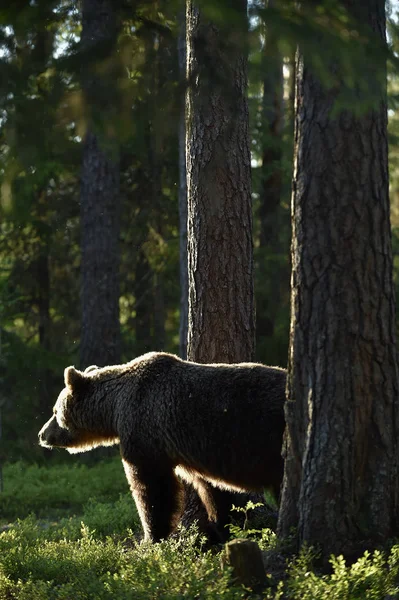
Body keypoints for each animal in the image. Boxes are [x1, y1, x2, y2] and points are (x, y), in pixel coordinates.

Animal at [38, 352, 288, 544]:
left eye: (54, 411)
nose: (42, 435)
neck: (115, 408)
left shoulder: (145, 431)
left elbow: (153, 488)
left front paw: (152, 536)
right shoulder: (197, 452)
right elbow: (212, 489)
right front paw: (221, 527)